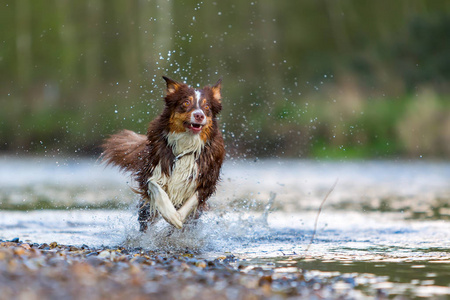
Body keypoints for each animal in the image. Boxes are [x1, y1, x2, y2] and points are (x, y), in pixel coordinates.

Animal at [100, 75, 223, 232]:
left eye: (206, 107)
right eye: (186, 102)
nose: (199, 115)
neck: (186, 143)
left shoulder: (207, 179)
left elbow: (192, 201)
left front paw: (179, 217)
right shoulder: (151, 171)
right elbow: (157, 189)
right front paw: (172, 215)